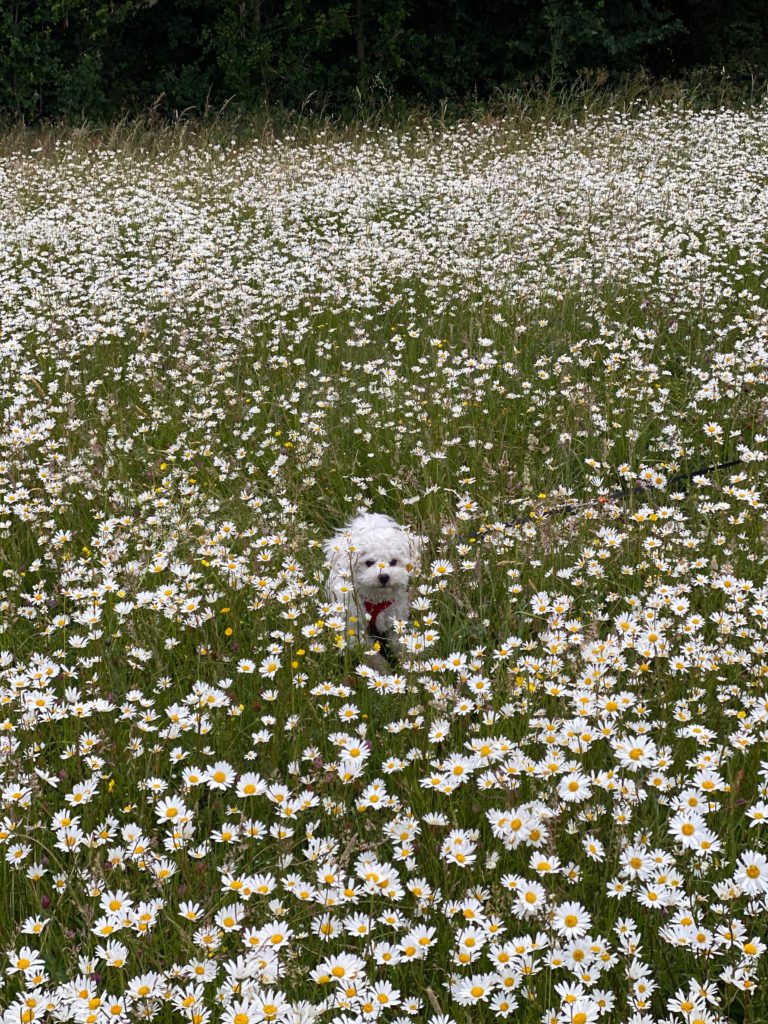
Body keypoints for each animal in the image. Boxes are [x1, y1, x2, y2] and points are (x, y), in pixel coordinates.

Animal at [323, 512, 421, 671]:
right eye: (369, 563)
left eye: (393, 562)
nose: (384, 576)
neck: (376, 598)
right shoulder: (355, 630)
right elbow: (373, 657)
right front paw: (384, 672)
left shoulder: (395, 622)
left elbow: (399, 646)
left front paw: (407, 665)